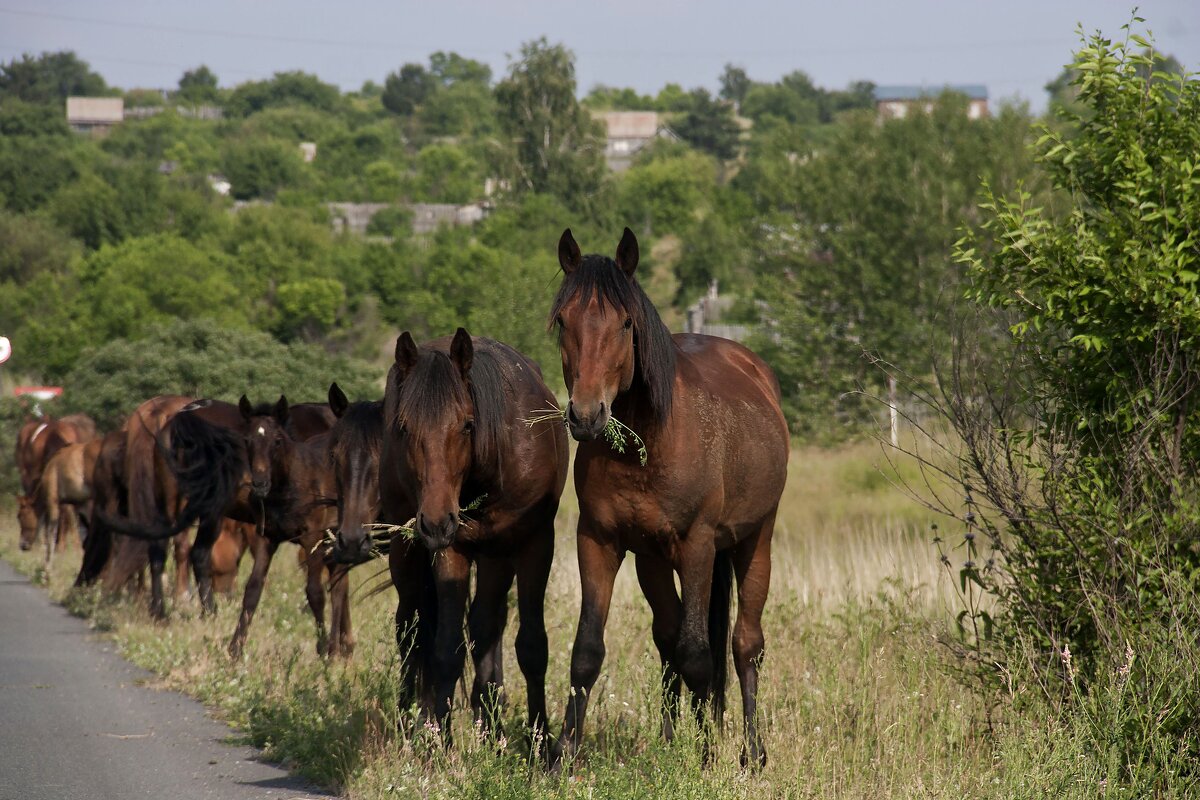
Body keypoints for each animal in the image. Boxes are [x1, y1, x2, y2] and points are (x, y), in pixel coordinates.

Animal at [333, 328, 566, 748]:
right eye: (404, 427)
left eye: (468, 425)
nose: (437, 521)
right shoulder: (450, 550)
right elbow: (446, 648)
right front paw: (437, 740)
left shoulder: (533, 544)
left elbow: (530, 646)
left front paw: (540, 744)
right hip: (407, 552)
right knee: (412, 630)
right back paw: (412, 720)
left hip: (493, 557)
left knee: (485, 625)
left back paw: (490, 726)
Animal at [549, 226, 792, 767]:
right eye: (562, 321)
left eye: (625, 322)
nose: (586, 415)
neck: (647, 444)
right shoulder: (598, 541)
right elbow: (587, 651)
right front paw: (562, 757)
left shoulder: (697, 546)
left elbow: (698, 654)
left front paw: (705, 759)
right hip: (653, 560)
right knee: (667, 637)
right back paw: (669, 739)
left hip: (755, 540)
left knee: (744, 643)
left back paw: (751, 752)